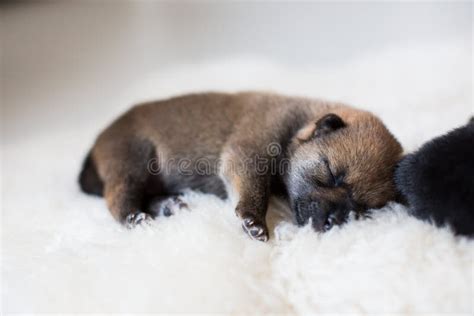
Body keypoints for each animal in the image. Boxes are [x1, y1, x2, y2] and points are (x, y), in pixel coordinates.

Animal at [79, 92, 402, 241]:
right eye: (332, 175)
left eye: (363, 208)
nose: (334, 221)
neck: (296, 125)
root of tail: (97, 142)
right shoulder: (248, 152)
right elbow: (254, 188)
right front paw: (253, 220)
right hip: (132, 161)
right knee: (119, 197)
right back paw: (134, 217)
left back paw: (167, 204)